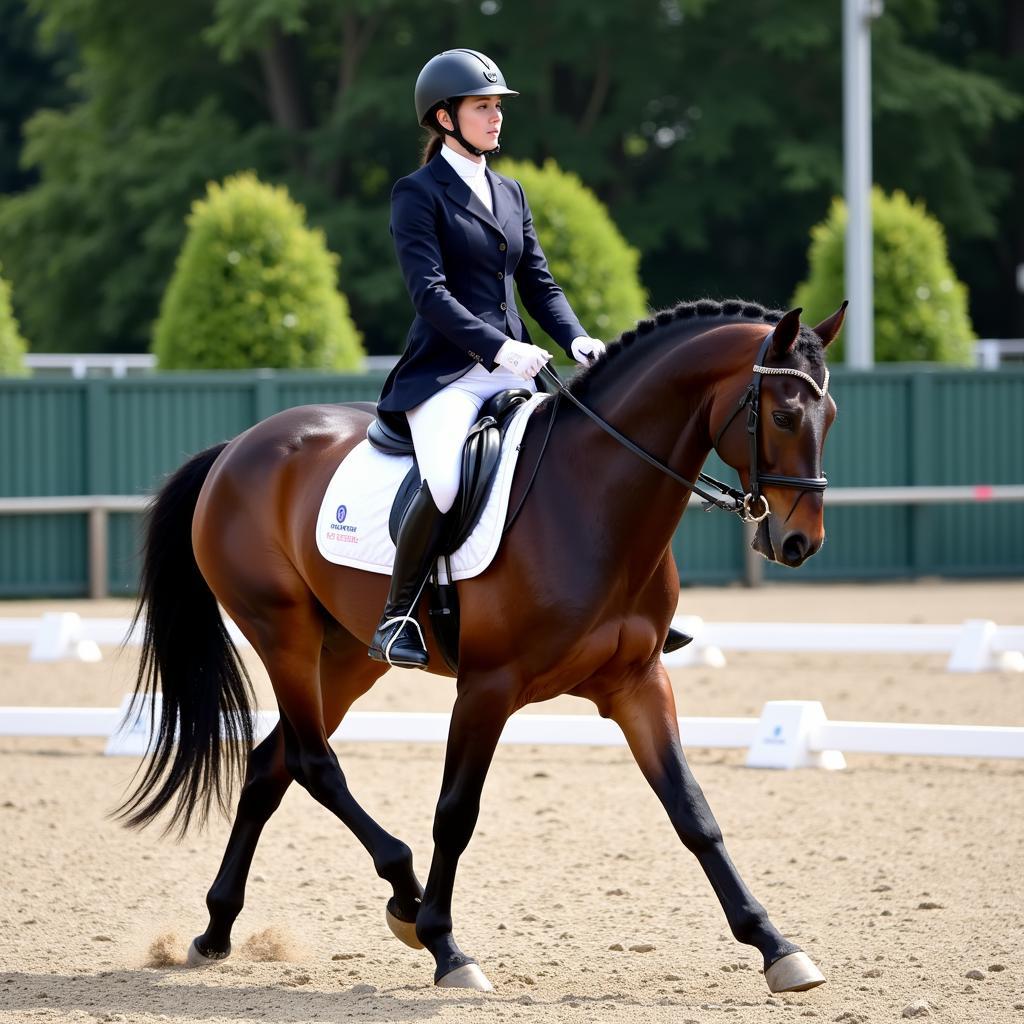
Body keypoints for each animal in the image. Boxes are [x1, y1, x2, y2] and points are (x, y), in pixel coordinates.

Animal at [117, 294, 839, 991]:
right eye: (782, 416)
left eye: (828, 415)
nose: (799, 543)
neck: (593, 498)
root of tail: (237, 447)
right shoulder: (488, 687)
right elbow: (456, 813)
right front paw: (446, 947)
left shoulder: (637, 682)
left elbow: (692, 811)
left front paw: (776, 947)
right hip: (282, 632)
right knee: (314, 762)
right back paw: (403, 895)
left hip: (347, 654)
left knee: (273, 762)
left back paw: (217, 930)